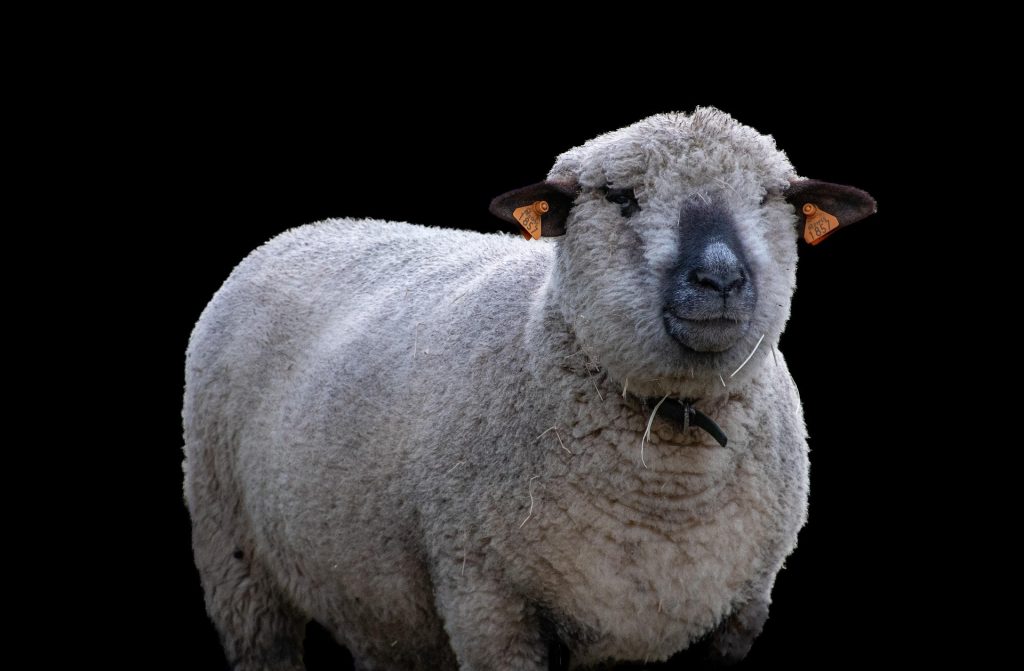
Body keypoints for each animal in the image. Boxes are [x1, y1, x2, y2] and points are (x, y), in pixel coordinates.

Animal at [183, 107, 876, 670]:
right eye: (621, 196)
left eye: (770, 198)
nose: (721, 279)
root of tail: (306, 229)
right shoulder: (491, 606)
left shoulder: (739, 613)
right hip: (235, 556)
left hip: (371, 597)